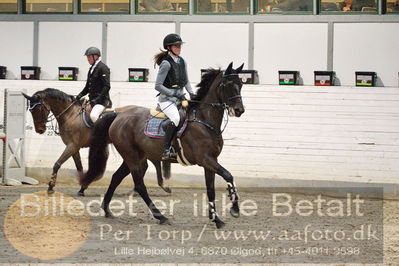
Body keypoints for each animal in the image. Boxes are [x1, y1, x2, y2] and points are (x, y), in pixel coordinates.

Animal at [22, 89, 172, 195]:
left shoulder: (72, 146)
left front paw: (51, 186)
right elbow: (79, 167)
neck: (71, 115)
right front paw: (82, 186)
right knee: (148, 164)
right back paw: (144, 189)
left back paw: (158, 187)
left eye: (38, 108)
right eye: (30, 110)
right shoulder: (74, 148)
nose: (40, 130)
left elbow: (57, 164)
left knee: (151, 163)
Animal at [79, 61, 245, 228]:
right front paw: (234, 209)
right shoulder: (205, 159)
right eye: (228, 84)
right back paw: (160, 216)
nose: (239, 110)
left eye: (241, 84)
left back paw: (107, 210)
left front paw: (217, 220)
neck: (205, 121)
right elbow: (228, 175)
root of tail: (119, 115)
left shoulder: (211, 161)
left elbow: (211, 190)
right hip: (131, 156)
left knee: (116, 178)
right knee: (139, 185)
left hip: (135, 156)